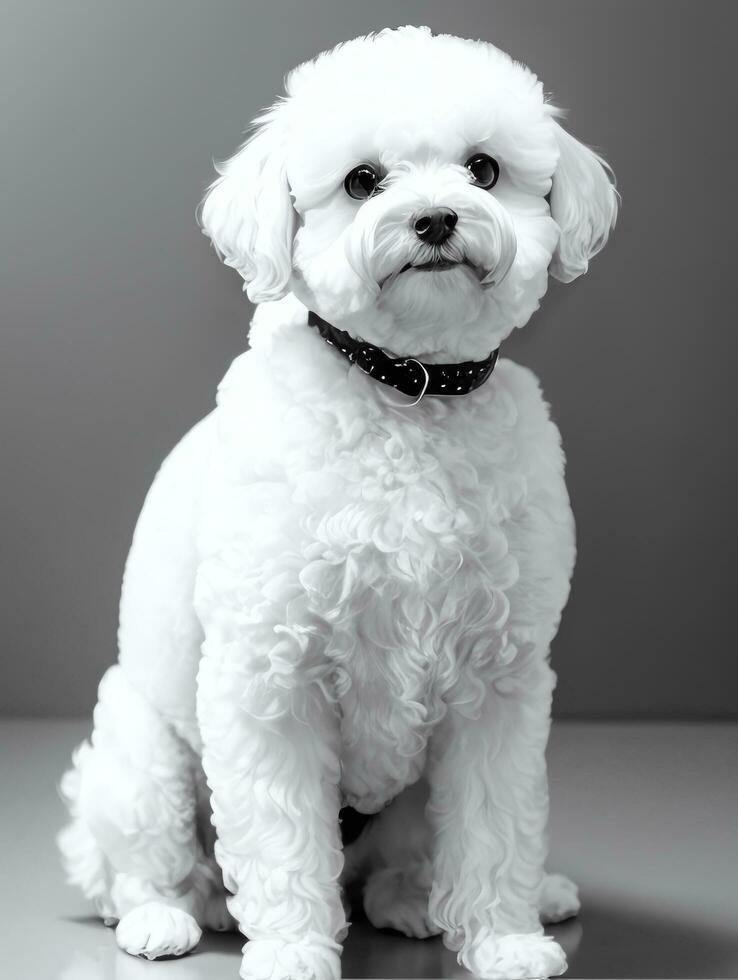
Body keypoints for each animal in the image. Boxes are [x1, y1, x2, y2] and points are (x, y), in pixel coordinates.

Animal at [57, 26, 616, 980]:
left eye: (484, 169)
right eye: (362, 181)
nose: (435, 218)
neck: (409, 388)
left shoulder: (498, 685)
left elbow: (497, 826)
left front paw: (503, 937)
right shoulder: (268, 679)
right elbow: (282, 840)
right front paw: (291, 951)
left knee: (405, 861)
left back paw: (434, 899)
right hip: (140, 758)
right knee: (145, 867)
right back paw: (169, 915)